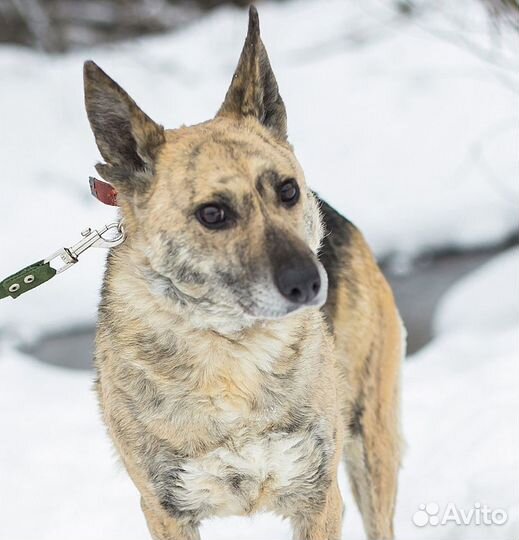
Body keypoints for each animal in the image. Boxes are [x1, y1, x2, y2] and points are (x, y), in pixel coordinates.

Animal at [85, 5, 404, 540]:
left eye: (288, 191)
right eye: (213, 214)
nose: (310, 282)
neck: (232, 350)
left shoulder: (319, 498)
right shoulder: (166, 510)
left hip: (371, 440)